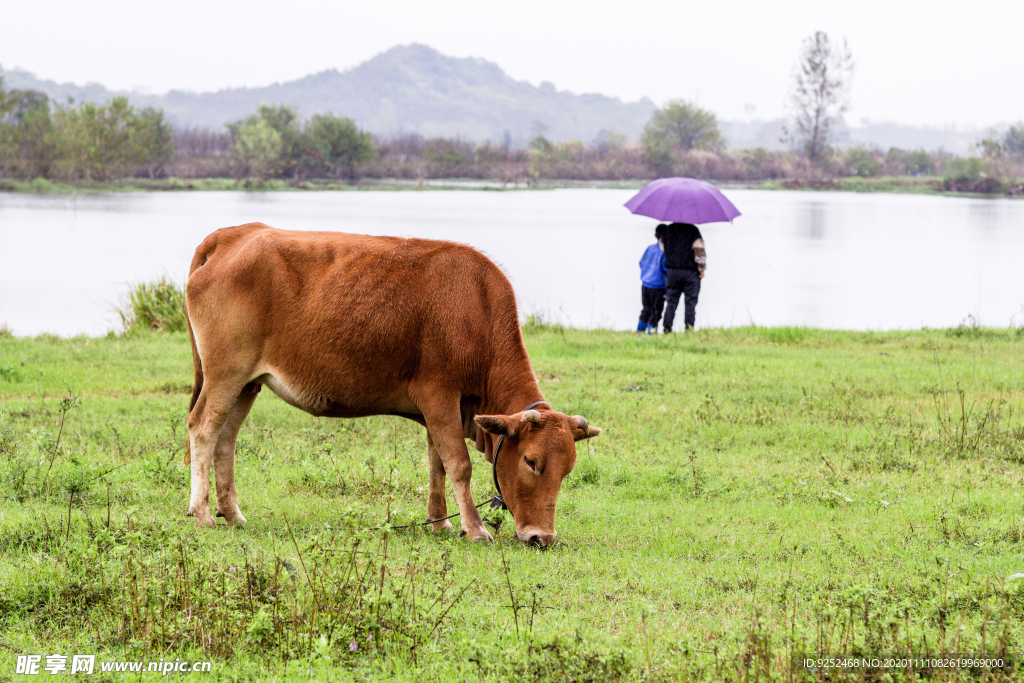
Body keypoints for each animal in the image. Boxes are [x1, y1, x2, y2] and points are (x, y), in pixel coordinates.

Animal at [184, 224, 598, 544]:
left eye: (567, 470)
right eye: (531, 461)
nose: (542, 537)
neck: (477, 309)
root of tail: (232, 234)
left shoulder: (440, 408)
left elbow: (437, 463)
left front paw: (440, 523)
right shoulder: (439, 395)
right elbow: (458, 463)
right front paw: (475, 529)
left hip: (246, 384)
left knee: (226, 439)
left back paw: (232, 513)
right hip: (226, 373)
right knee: (203, 428)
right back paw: (202, 514)